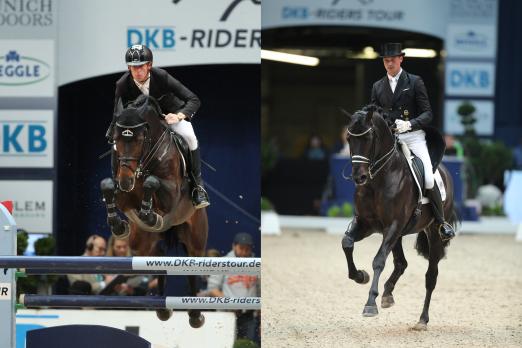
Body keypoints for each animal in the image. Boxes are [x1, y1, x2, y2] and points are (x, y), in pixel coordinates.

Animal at [99, 94, 207, 326]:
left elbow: (152, 182)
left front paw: (149, 214)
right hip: (141, 245)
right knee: (156, 260)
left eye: (140, 140)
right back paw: (163, 309)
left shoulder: (171, 195)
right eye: (116, 140)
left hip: (196, 240)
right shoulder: (125, 194)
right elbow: (108, 185)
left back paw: (195, 315)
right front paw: (119, 225)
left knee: (193, 267)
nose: (126, 180)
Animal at [338, 104, 456, 330]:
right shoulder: (367, 224)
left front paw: (370, 304)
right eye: (348, 138)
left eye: (368, 138)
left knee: (431, 276)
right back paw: (388, 294)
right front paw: (361, 276)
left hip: (432, 232)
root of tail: (444, 170)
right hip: (399, 233)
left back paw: (422, 320)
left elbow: (378, 260)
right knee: (401, 263)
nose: (359, 177)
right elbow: (347, 243)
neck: (378, 179)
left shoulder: (392, 225)